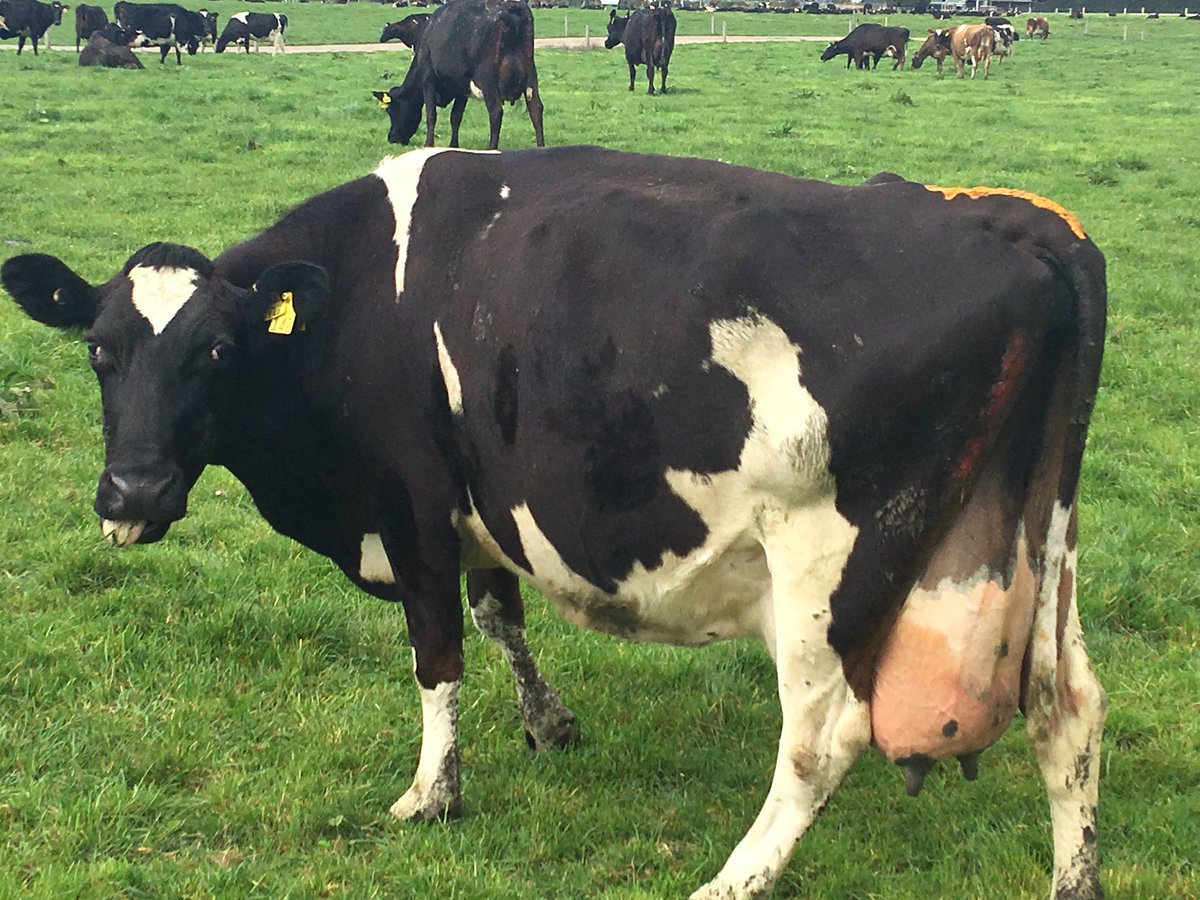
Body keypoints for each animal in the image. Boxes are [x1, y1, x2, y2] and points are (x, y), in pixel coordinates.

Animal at [1, 145, 1108, 900]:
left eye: (218, 352)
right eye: (98, 349)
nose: (133, 494)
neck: (354, 301)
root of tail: (1014, 222)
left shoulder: (412, 505)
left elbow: (437, 653)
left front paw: (433, 794)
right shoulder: (477, 503)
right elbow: (501, 616)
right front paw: (548, 724)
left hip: (827, 559)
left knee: (821, 738)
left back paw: (733, 879)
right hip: (1036, 547)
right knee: (1066, 709)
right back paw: (1073, 880)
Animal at [371, 0, 544, 151]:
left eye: (391, 111)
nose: (392, 138)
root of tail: (512, 8)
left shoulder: (428, 78)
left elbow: (431, 115)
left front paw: (428, 145)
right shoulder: (462, 86)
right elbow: (456, 116)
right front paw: (453, 145)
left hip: (487, 77)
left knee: (496, 111)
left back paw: (491, 149)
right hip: (531, 73)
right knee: (536, 109)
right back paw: (541, 147)